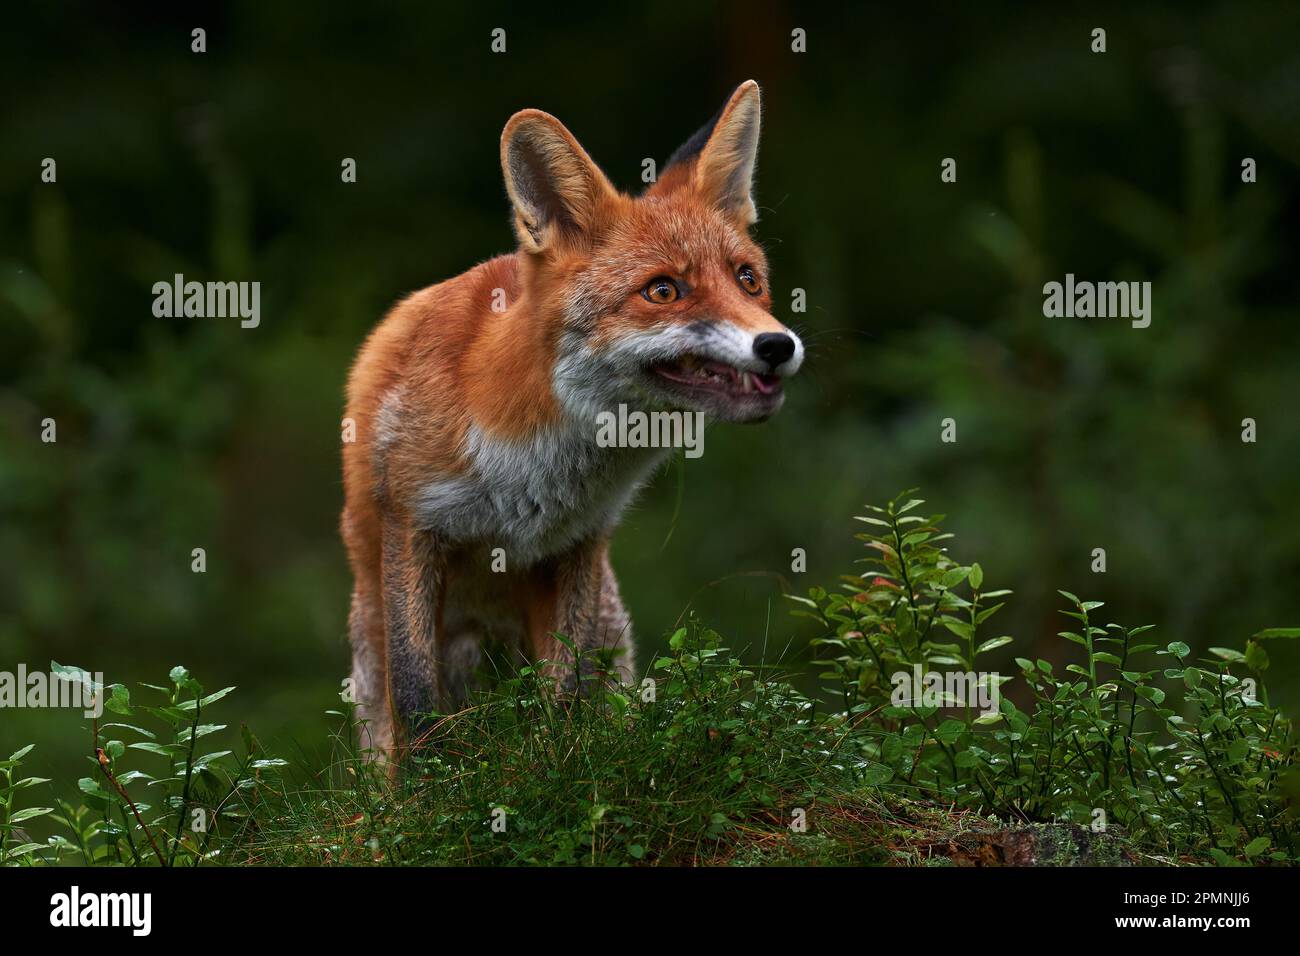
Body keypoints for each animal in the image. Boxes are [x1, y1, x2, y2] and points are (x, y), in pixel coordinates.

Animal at [341, 79, 804, 758]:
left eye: (748, 280)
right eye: (662, 291)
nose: (778, 345)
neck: (531, 468)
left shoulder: (575, 545)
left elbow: (562, 693)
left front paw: (554, 761)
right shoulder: (412, 527)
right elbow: (418, 699)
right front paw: (434, 780)